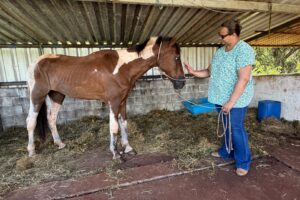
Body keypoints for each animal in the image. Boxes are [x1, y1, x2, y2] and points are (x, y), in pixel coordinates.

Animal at [26, 36, 185, 160]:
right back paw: (31, 151)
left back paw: (60, 144)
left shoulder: (123, 101)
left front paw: (128, 148)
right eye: (177, 57)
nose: (181, 83)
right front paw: (115, 153)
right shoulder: (113, 102)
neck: (122, 68)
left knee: (51, 118)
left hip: (57, 95)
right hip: (37, 95)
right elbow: (114, 127)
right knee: (31, 121)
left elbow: (124, 123)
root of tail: (36, 62)